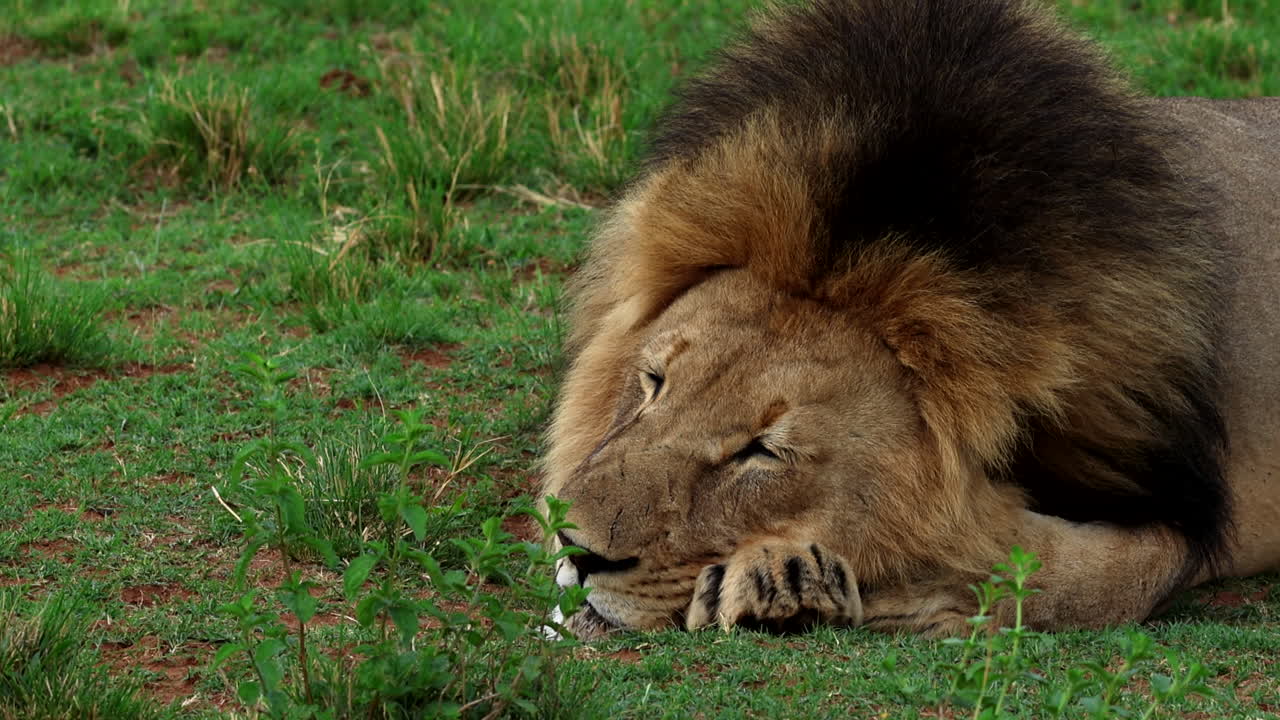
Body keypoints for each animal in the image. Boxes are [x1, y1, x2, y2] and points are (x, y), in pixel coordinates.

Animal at [542, 0, 1280, 640]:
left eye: (765, 452)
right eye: (652, 384)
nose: (576, 549)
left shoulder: (1181, 508)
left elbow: (1073, 576)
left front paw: (813, 578)